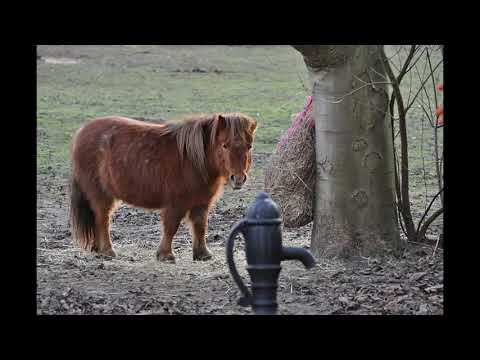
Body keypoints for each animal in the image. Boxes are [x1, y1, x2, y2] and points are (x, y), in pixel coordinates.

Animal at [69, 112, 256, 262]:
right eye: (225, 145)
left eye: (249, 146)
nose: (238, 179)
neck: (193, 160)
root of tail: (81, 132)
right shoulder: (175, 204)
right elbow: (171, 227)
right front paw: (165, 255)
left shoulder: (202, 203)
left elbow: (200, 227)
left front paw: (203, 254)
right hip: (100, 195)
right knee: (102, 219)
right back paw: (108, 251)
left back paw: (97, 249)